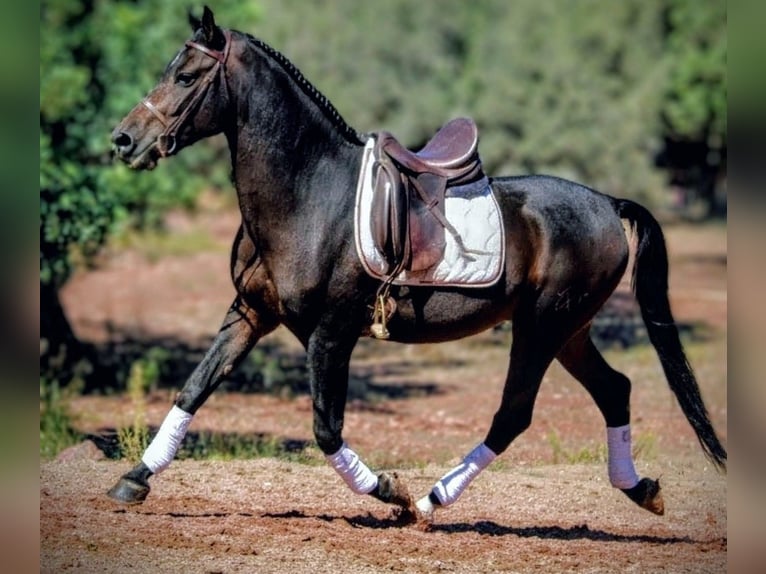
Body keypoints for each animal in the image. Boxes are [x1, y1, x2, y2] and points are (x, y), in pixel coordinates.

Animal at [108, 7, 726, 521]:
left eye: (187, 77)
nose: (123, 140)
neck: (308, 193)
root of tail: (606, 203)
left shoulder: (330, 334)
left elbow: (326, 429)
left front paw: (392, 491)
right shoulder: (250, 313)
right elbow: (192, 390)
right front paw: (133, 480)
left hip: (542, 327)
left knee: (514, 414)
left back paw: (431, 501)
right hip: (569, 330)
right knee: (614, 389)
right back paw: (641, 489)